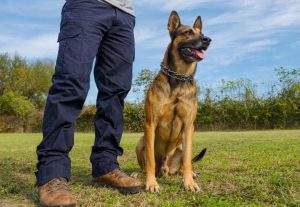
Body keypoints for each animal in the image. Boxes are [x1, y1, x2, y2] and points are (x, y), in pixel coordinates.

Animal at [136, 11, 211, 192]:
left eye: (202, 33)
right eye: (188, 32)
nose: (207, 40)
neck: (179, 77)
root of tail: (165, 169)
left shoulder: (189, 126)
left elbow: (188, 160)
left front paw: (189, 183)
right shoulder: (150, 124)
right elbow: (150, 160)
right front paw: (151, 183)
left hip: (181, 146)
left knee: (185, 162)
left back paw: (189, 174)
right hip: (140, 142)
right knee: (145, 165)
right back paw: (140, 175)